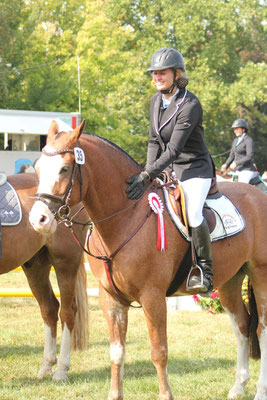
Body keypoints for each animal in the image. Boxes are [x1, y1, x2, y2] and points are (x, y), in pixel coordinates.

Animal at [0, 172, 90, 382]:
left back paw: (61, 370)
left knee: (67, 312)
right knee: (49, 308)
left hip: (65, 263)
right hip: (36, 265)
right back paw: (46, 366)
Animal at [28, 122, 267, 400]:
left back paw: (260, 391)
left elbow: (158, 351)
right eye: (37, 168)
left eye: (65, 169)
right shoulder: (111, 299)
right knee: (242, 326)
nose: (38, 220)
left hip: (260, 276)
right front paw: (115, 394)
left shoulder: (153, 297)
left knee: (261, 330)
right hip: (229, 281)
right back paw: (238, 386)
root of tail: (258, 195)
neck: (126, 218)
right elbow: (117, 352)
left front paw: (165, 395)